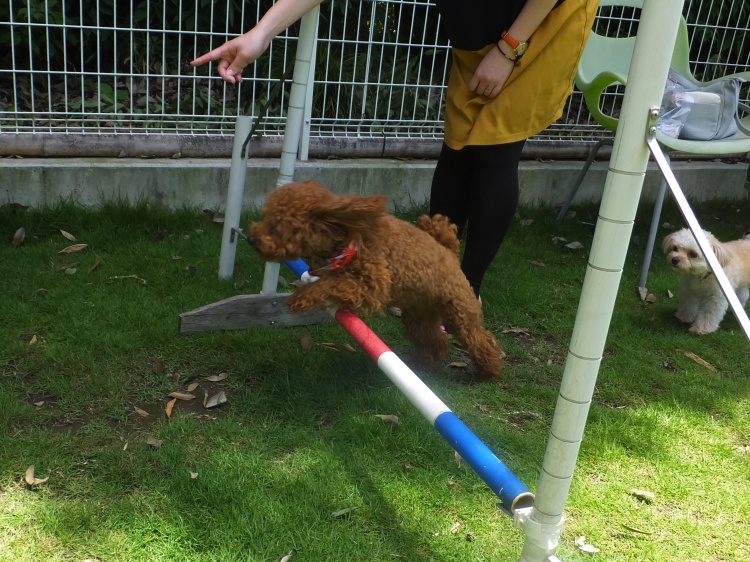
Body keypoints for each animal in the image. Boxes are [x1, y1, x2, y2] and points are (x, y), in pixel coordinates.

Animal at [248, 180, 504, 377]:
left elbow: (333, 283)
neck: (347, 233)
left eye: (277, 226)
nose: (250, 238)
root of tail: (450, 254)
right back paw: (424, 365)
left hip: (458, 311)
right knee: (436, 340)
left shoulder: (372, 282)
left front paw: (302, 297)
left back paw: (489, 369)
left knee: (478, 338)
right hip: (419, 316)